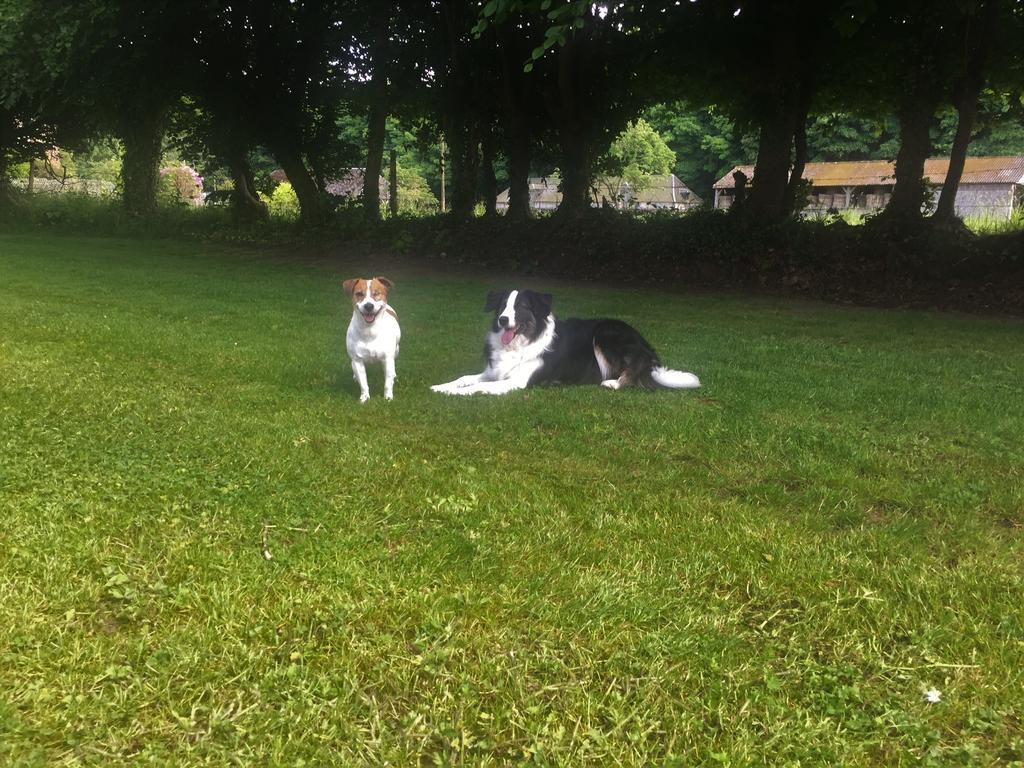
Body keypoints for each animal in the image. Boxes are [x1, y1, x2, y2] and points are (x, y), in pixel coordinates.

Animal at [428, 288, 700, 397]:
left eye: (521, 307)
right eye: (502, 306)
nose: (503, 320)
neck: (521, 343)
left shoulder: (516, 382)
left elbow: (479, 387)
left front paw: (454, 394)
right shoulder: (494, 371)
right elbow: (465, 378)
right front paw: (442, 386)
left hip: (606, 332)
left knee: (634, 369)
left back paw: (614, 383)